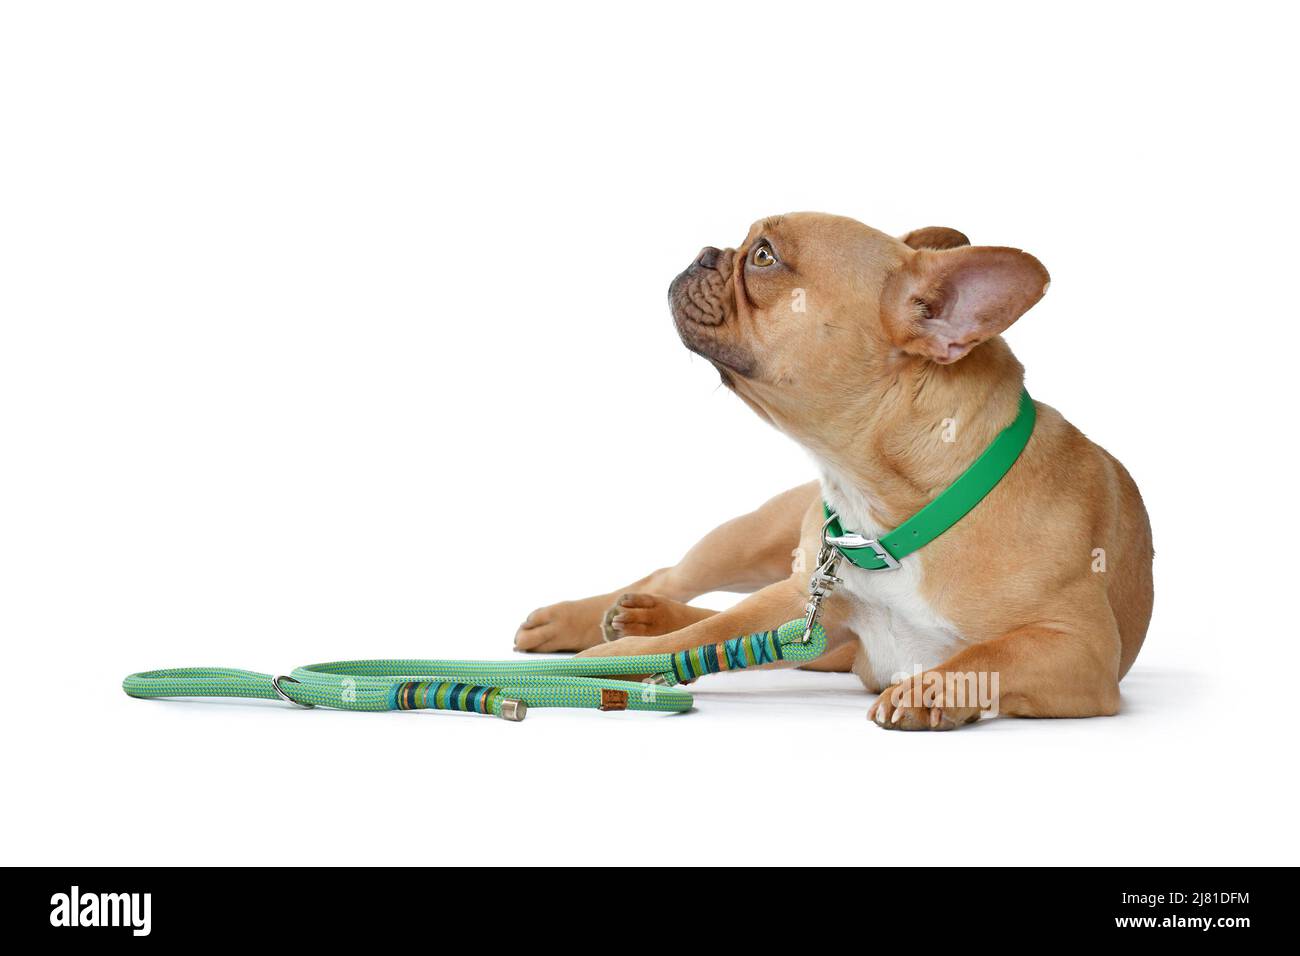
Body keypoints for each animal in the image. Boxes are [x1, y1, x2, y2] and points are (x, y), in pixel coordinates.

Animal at [512, 213, 1154, 728]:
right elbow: (701, 636)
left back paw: (641, 619)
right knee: (676, 577)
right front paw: (608, 663)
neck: (892, 509)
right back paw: (592, 619)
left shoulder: (1079, 648)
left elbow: (988, 656)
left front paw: (932, 690)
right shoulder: (803, 599)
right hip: (751, 541)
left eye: (764, 256)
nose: (704, 252)